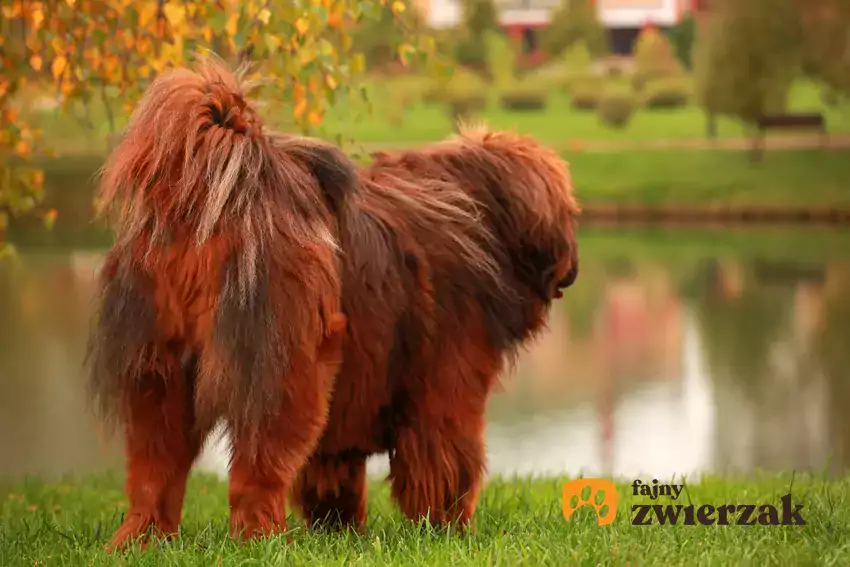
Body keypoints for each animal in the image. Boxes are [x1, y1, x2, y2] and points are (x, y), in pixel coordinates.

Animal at [88, 58, 360, 552]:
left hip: (158, 374)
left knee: (153, 470)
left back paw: (141, 538)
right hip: (286, 369)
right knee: (257, 470)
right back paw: (262, 540)